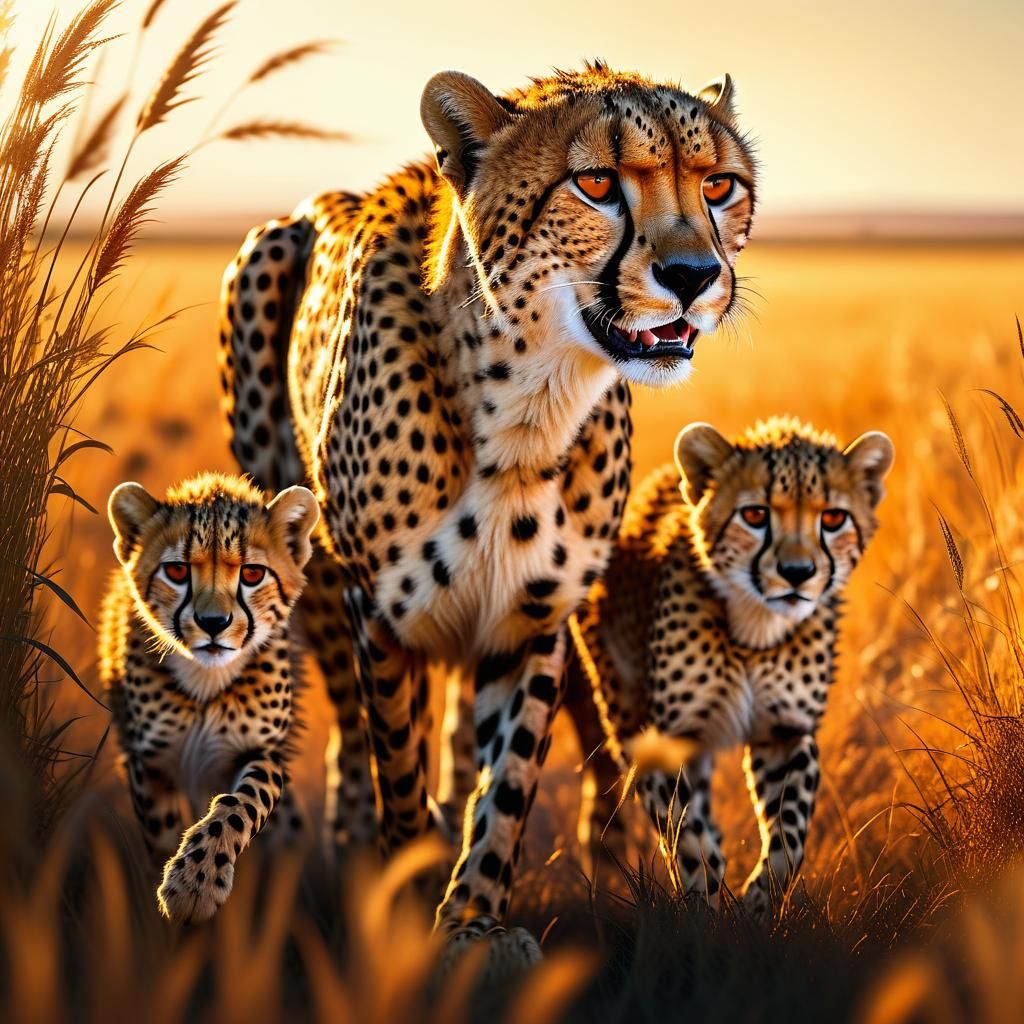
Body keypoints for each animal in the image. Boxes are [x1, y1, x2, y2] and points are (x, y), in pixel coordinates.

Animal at [100, 473, 319, 923]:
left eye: (252, 574)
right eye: (177, 571)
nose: (213, 623)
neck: (206, 680)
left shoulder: (262, 752)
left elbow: (239, 804)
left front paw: (196, 882)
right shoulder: (148, 761)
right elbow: (160, 831)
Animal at [217, 61, 758, 964]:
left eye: (718, 185)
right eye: (596, 183)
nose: (693, 276)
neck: (525, 404)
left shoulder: (532, 618)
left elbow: (507, 781)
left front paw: (473, 920)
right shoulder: (379, 614)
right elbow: (395, 760)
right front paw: (407, 908)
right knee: (345, 732)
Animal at [566, 416, 893, 918]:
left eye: (833, 518)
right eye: (754, 515)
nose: (797, 573)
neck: (754, 631)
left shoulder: (785, 733)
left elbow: (790, 834)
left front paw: (759, 903)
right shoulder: (661, 739)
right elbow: (685, 835)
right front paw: (702, 905)